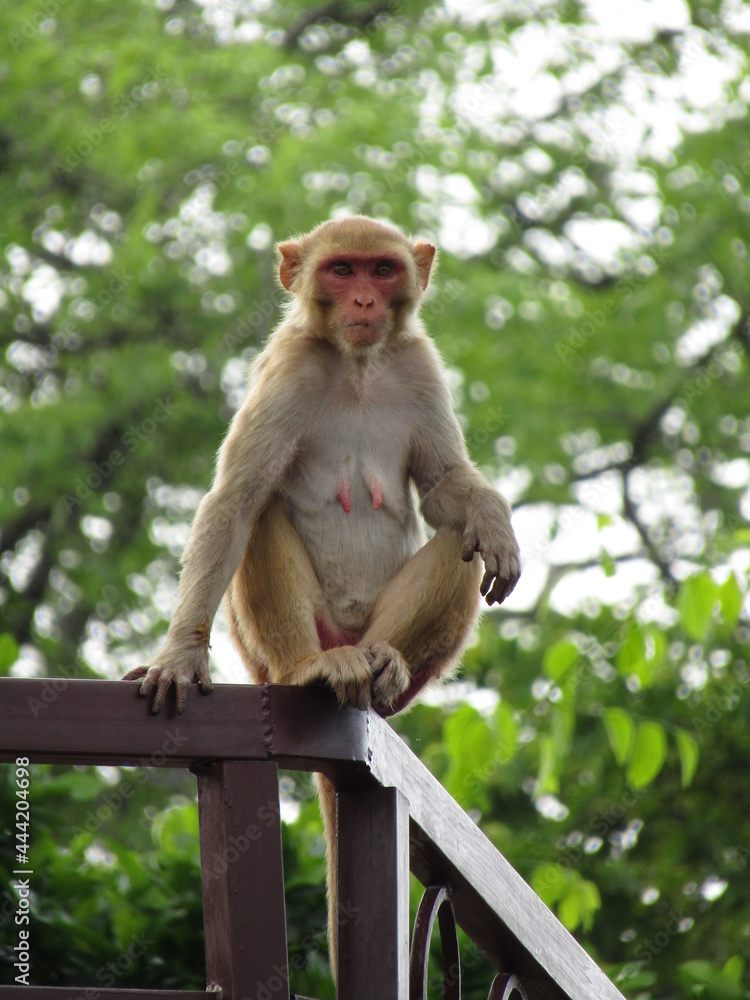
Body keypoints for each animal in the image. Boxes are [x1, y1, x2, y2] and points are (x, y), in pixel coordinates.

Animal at [124, 214, 521, 976]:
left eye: (381, 270)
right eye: (341, 270)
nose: (364, 301)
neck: (357, 365)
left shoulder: (418, 364)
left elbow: (445, 488)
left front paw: (493, 515)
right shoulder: (288, 367)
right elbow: (236, 498)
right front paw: (180, 655)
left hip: (394, 653)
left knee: (458, 547)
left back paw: (384, 664)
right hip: (269, 655)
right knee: (261, 510)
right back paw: (313, 669)